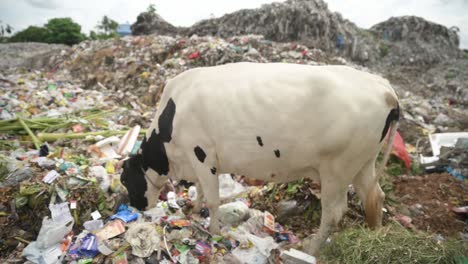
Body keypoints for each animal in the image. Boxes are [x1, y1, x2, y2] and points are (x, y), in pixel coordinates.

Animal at [119, 62, 398, 254]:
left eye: (124, 180)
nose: (135, 207)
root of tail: (384, 88)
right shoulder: (196, 158)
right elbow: (200, 189)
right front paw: (195, 209)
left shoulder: (202, 154)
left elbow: (212, 199)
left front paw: (213, 232)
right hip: (363, 163)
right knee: (375, 197)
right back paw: (376, 236)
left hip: (337, 170)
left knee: (334, 213)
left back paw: (309, 248)